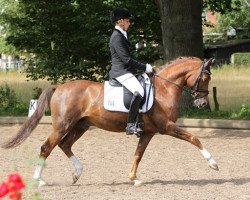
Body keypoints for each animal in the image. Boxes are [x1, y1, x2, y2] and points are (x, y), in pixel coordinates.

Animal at [1, 56, 218, 188]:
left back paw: (77, 173)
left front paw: (134, 179)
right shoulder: (166, 127)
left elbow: (138, 154)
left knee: (65, 145)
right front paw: (213, 163)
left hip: (80, 125)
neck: (164, 89)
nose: (202, 103)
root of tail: (59, 87)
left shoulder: (148, 132)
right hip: (63, 125)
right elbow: (194, 138)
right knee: (47, 147)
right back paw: (39, 181)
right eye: (206, 77)